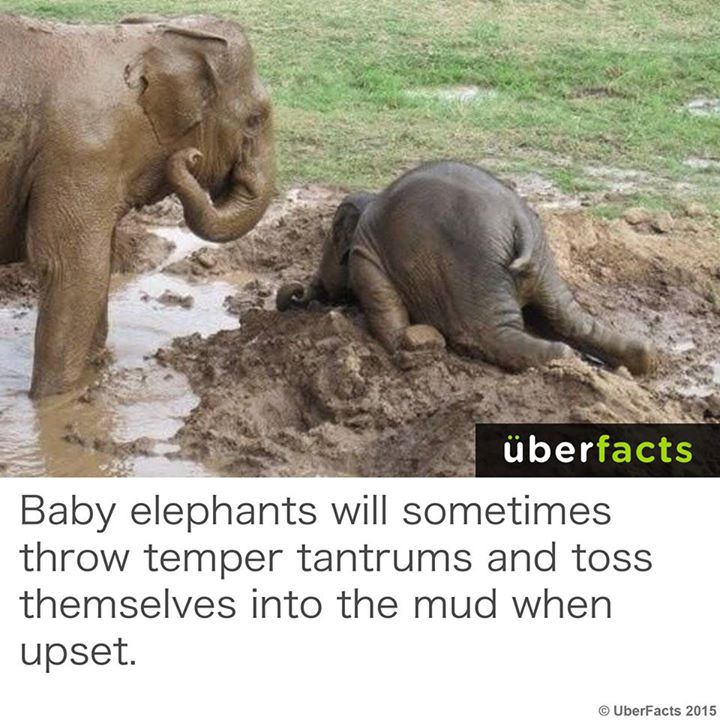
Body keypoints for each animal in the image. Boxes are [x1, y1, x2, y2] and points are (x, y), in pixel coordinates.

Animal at [0, 14, 274, 397]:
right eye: (253, 119)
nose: (191, 156)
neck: (148, 39)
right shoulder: (81, 155)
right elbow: (73, 268)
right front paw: (55, 401)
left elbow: (101, 263)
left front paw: (96, 373)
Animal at [277, 161, 655, 375]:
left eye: (329, 242)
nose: (296, 292)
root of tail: (520, 223)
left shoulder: (365, 258)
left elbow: (385, 309)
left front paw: (406, 347)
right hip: (543, 264)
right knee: (571, 321)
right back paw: (639, 361)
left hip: (475, 269)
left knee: (489, 333)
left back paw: (561, 359)